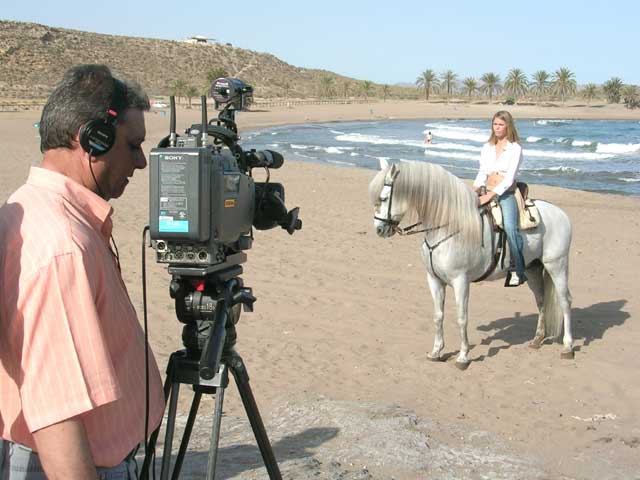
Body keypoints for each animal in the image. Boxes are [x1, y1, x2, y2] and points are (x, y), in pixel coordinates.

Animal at [370, 160, 576, 368]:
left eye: (384, 198)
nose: (379, 229)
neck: (447, 227)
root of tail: (561, 214)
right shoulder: (434, 280)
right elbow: (438, 315)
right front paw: (436, 352)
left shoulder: (461, 281)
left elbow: (462, 318)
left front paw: (463, 356)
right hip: (533, 269)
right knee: (541, 300)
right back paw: (537, 339)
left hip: (557, 265)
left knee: (565, 301)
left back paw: (567, 347)